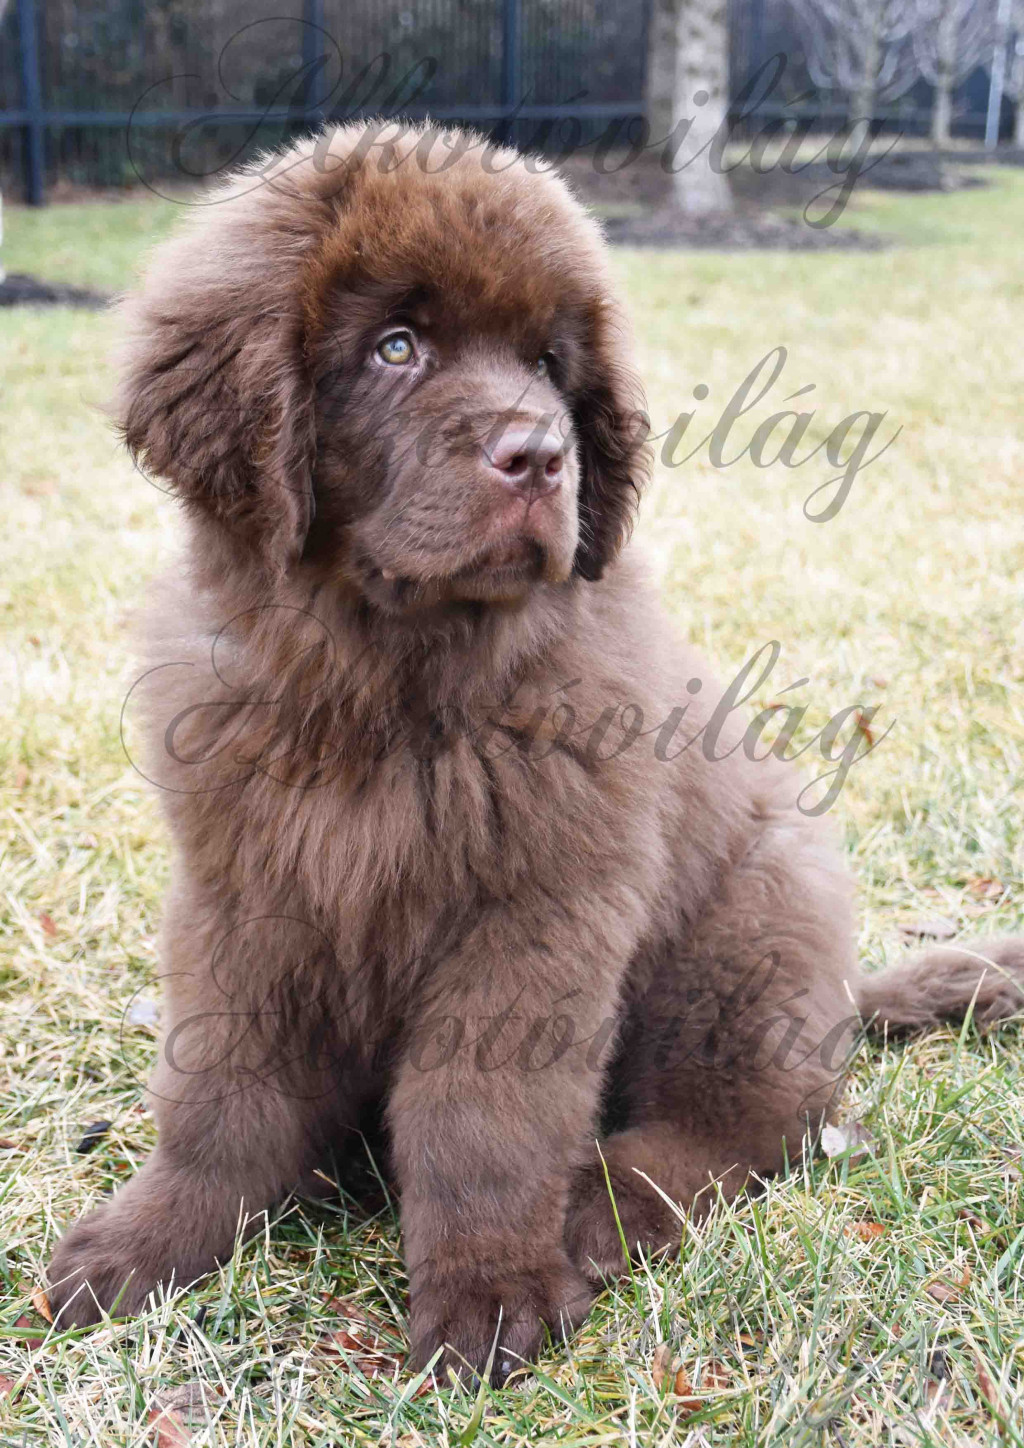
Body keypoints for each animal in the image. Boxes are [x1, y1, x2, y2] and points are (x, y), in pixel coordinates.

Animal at [48, 124, 1024, 1383]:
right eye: (396, 347)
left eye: (548, 363)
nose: (541, 453)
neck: (387, 684)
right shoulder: (242, 889)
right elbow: (221, 1083)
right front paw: (152, 1240)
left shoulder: (535, 912)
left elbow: (482, 1110)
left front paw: (487, 1292)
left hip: (747, 924)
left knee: (755, 1123)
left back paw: (602, 1209)